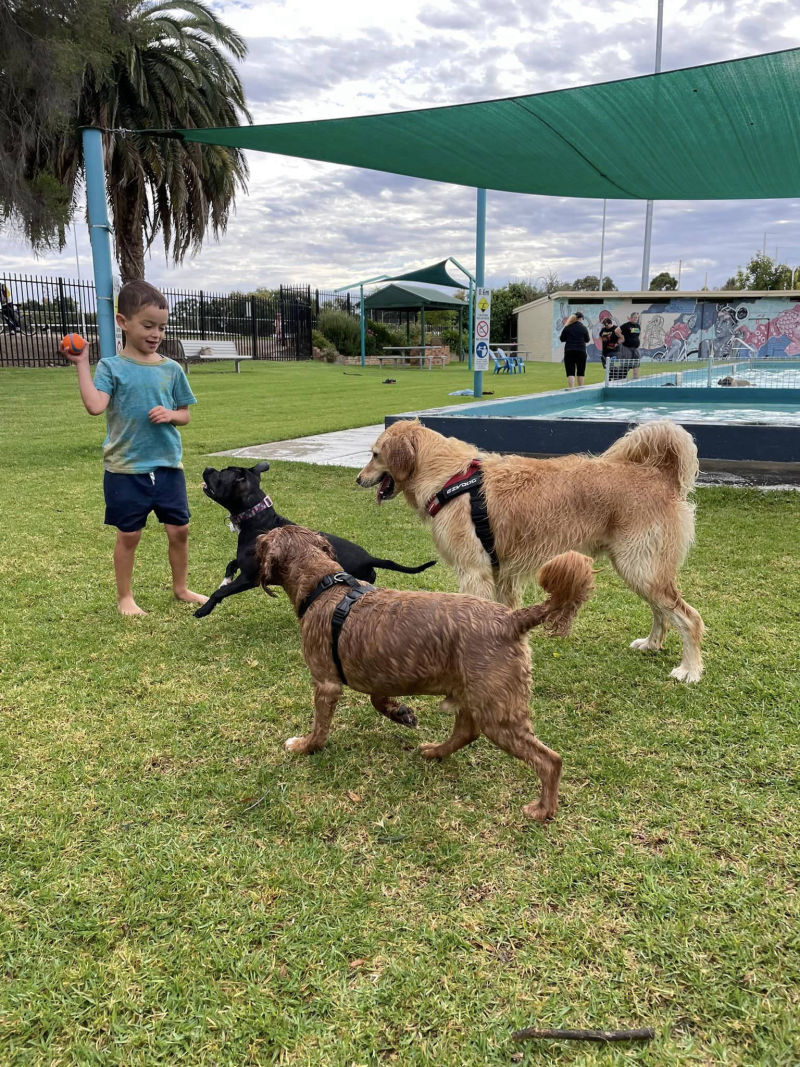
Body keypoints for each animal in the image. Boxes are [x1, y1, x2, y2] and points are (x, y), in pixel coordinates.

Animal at [193, 463, 435, 623]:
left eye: (221, 473)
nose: (207, 467)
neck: (257, 518)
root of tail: (369, 557)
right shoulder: (244, 565)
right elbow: (230, 565)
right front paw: (225, 579)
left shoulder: (250, 578)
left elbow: (220, 593)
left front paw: (204, 609)